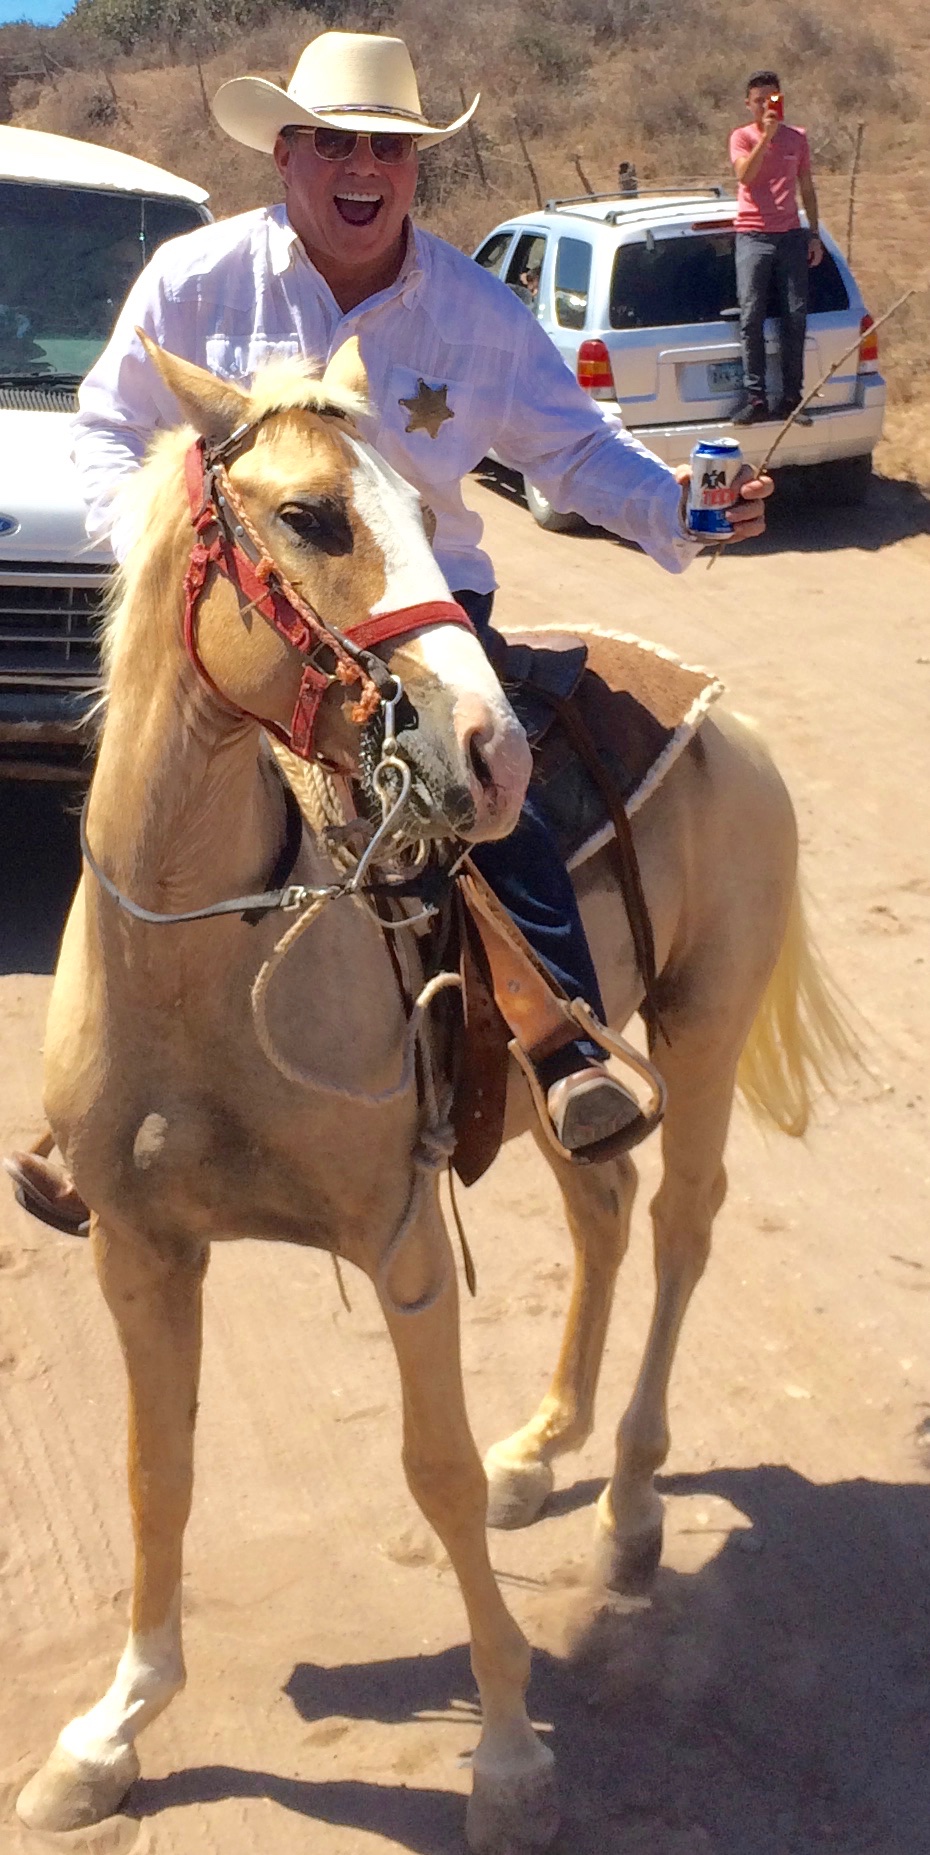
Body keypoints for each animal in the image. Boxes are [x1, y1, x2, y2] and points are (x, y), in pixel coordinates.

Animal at [15, 338, 851, 1853]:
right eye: (308, 516)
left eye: (419, 497)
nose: (492, 752)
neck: (201, 953)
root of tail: (716, 701)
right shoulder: (136, 1246)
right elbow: (156, 1469)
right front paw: (111, 1726)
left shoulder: (398, 1238)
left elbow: (433, 1468)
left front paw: (510, 1753)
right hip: (548, 1077)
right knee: (603, 1199)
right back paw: (548, 1446)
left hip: (700, 1030)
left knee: (681, 1225)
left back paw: (627, 1499)